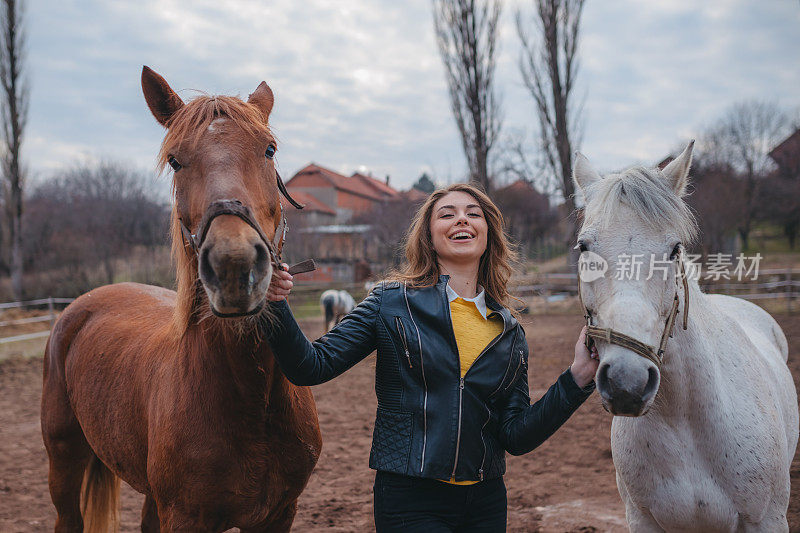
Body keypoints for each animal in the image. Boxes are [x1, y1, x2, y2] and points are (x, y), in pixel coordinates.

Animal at [40, 67, 322, 532]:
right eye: (175, 159)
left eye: (269, 149)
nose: (234, 266)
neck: (252, 401)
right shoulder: (186, 518)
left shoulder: (279, 513)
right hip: (64, 461)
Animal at [572, 142, 796, 532]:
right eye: (585, 247)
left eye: (674, 249)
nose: (626, 383)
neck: (684, 422)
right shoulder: (643, 520)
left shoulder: (766, 519)